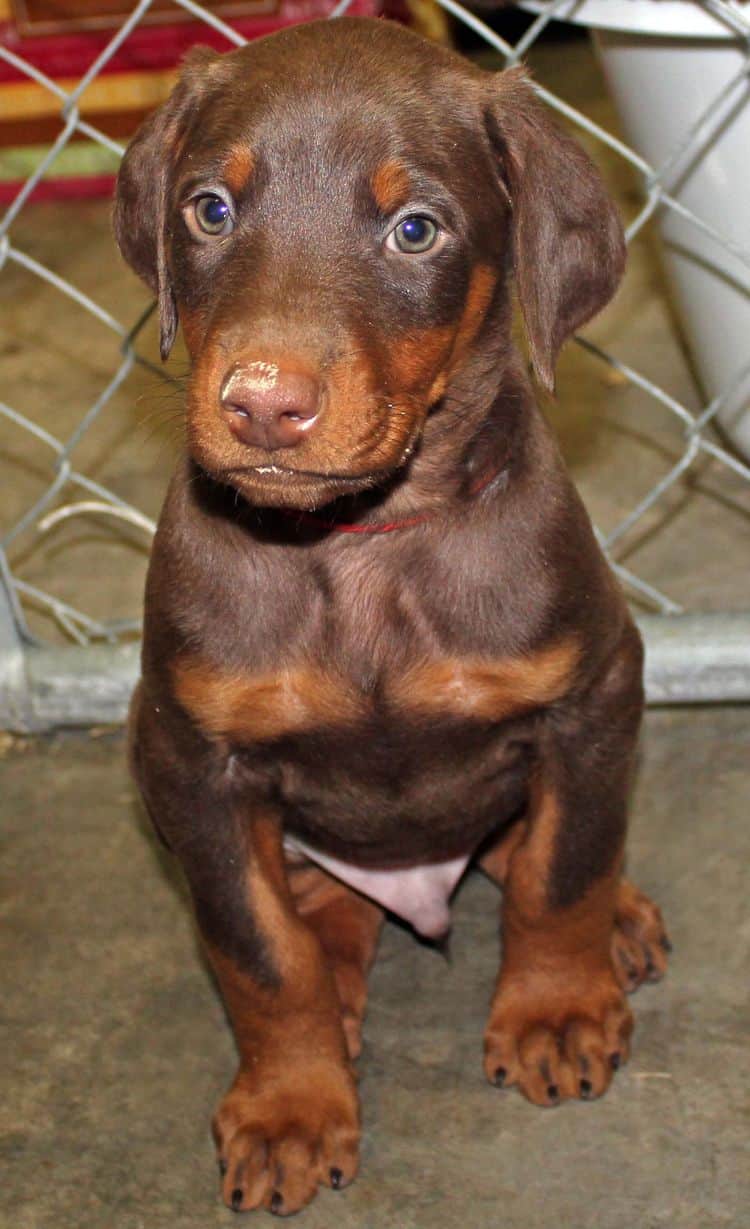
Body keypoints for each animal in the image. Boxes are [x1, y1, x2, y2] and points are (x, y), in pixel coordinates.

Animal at [115, 14, 663, 1214]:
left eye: (417, 230)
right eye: (208, 209)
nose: (262, 405)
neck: (361, 542)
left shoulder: (593, 691)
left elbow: (564, 867)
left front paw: (557, 1006)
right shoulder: (190, 758)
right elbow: (258, 950)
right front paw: (290, 1102)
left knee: (537, 841)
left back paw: (620, 922)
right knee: (315, 914)